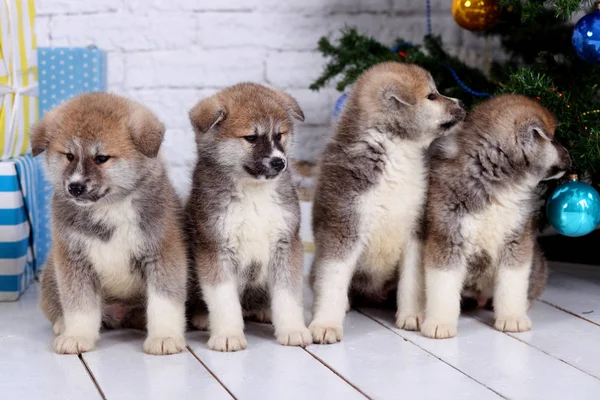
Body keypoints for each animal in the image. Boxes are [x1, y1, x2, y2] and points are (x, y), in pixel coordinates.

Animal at [35, 93, 188, 354]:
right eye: (69, 155)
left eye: (101, 158)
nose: (75, 187)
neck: (109, 207)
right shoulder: (74, 260)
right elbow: (80, 306)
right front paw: (77, 335)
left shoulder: (162, 254)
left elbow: (163, 303)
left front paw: (164, 337)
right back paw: (62, 324)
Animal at [186, 83, 310, 352]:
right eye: (251, 138)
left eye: (279, 135)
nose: (279, 162)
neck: (253, 193)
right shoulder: (216, 249)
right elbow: (224, 300)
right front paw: (227, 334)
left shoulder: (286, 244)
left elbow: (288, 296)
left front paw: (293, 330)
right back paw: (203, 317)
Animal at [308, 62, 466, 344]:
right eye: (432, 96)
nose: (463, 102)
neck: (396, 153)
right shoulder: (342, 226)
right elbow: (332, 282)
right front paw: (325, 324)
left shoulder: (415, 230)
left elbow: (412, 282)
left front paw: (412, 316)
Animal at [420, 94, 568, 338]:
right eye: (553, 139)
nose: (570, 155)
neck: (496, 182)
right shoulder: (448, 238)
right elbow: (443, 286)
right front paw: (439, 322)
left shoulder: (515, 241)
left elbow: (512, 285)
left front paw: (512, 318)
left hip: (537, 263)